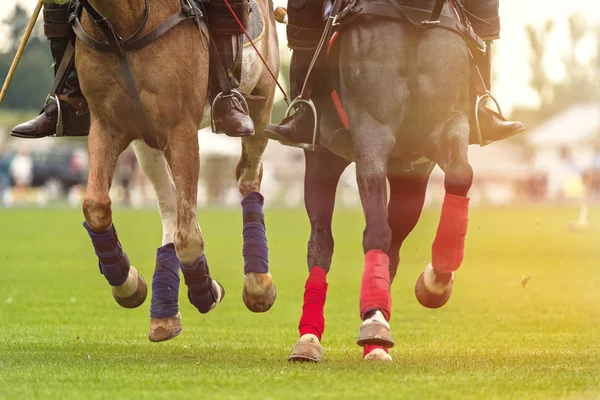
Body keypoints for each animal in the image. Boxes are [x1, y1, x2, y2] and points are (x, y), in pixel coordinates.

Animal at [77, 0, 278, 342]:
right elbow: (96, 206)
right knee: (168, 200)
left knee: (248, 175)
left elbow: (189, 238)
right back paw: (164, 316)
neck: (120, 29)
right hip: (146, 138)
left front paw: (207, 292)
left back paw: (258, 285)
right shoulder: (107, 124)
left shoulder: (180, 129)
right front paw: (128, 283)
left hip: (261, 104)